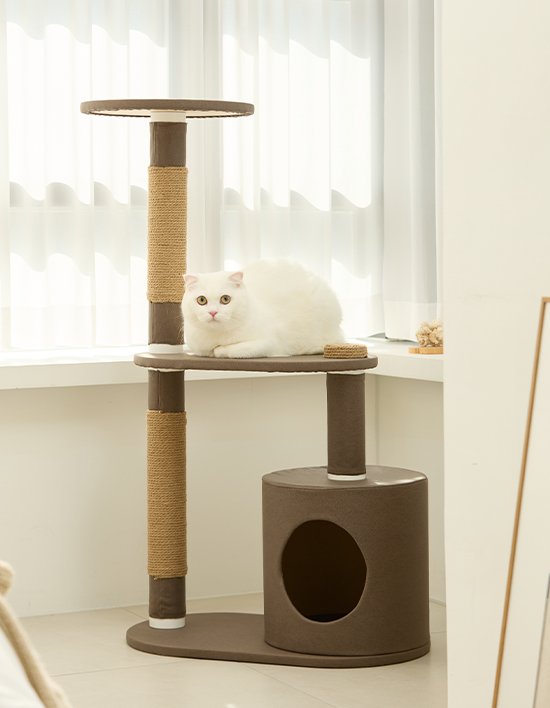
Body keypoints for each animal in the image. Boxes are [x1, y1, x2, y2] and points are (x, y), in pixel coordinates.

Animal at [182, 259, 345, 358]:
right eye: (202, 300)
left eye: (225, 299)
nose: (213, 312)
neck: (216, 336)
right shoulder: (197, 347)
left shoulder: (266, 344)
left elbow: (226, 350)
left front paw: (218, 350)